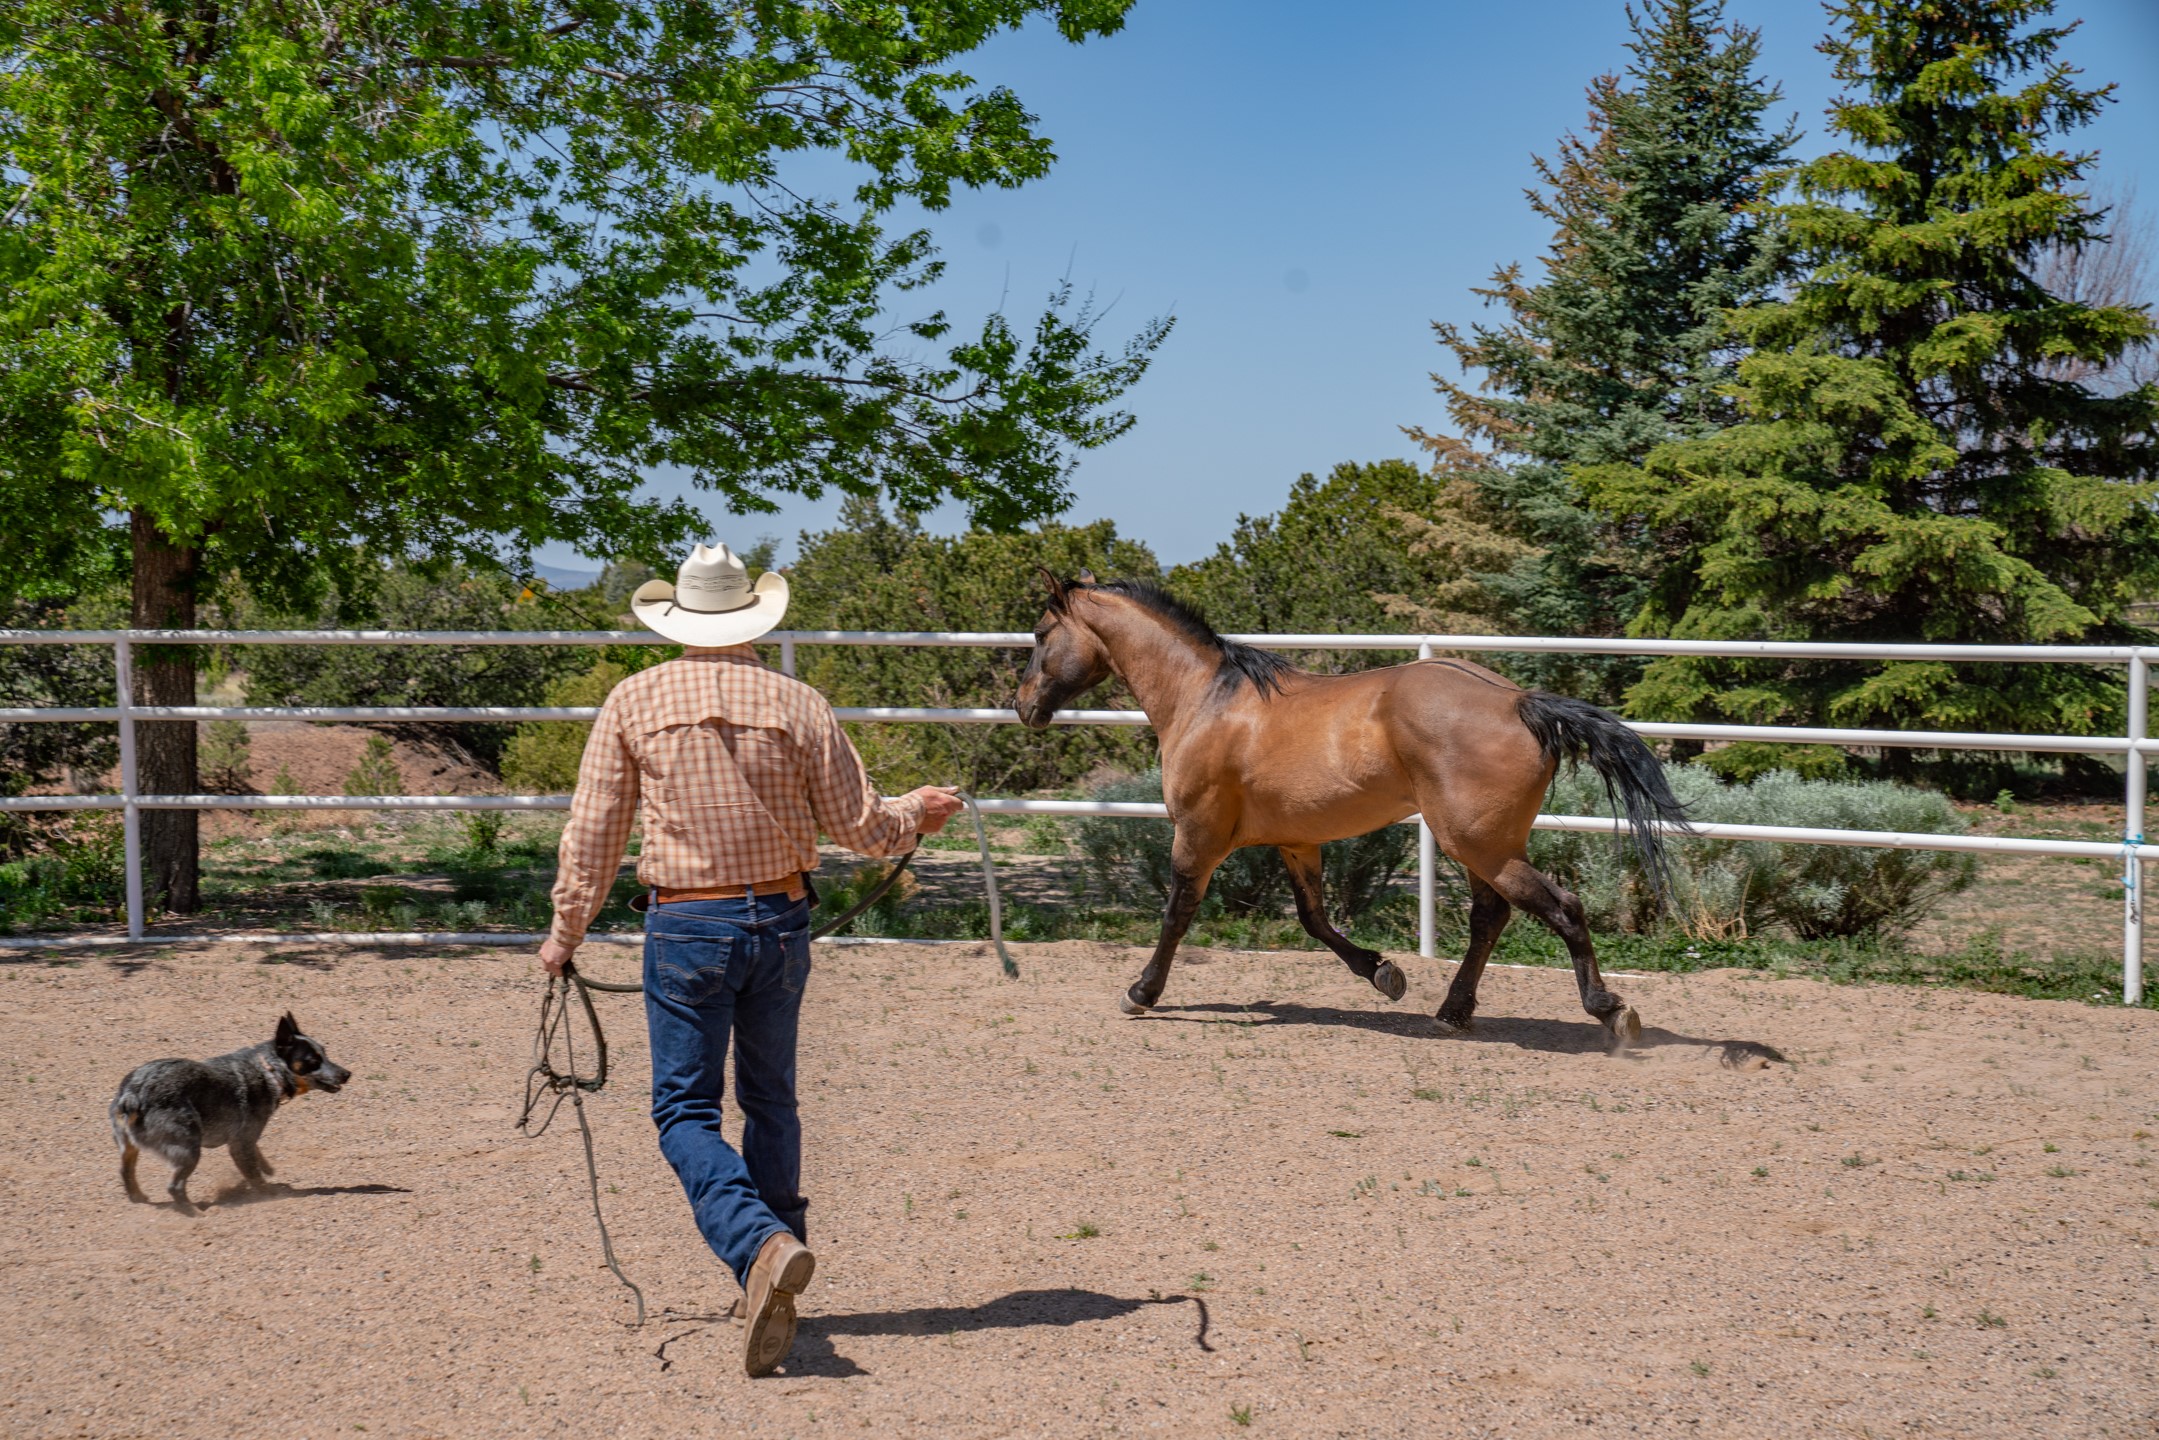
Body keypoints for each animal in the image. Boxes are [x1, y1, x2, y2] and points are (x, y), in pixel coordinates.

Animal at [112, 1014, 349, 1217]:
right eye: (313, 1060)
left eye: (325, 1053)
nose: (347, 1073)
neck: (269, 1071)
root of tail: (133, 1093)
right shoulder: (241, 1142)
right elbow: (254, 1175)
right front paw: (270, 1194)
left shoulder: (244, 1140)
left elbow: (257, 1159)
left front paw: (268, 1169)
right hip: (189, 1149)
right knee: (174, 1187)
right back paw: (196, 1213)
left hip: (129, 1148)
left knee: (125, 1170)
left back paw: (138, 1197)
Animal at [1019, 569, 1692, 1049]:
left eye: (1039, 635)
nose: (1025, 706)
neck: (1204, 700)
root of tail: (1519, 702)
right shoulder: (1297, 842)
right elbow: (1314, 920)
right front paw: (1385, 974)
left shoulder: (1197, 835)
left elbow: (1176, 915)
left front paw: (1141, 993)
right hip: (1482, 845)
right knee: (1490, 916)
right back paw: (1451, 1013)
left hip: (1479, 843)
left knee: (1561, 909)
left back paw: (1612, 1013)